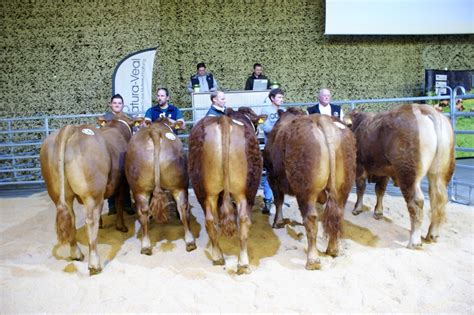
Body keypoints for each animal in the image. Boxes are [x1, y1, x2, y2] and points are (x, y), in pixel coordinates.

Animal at [39, 114, 134, 276]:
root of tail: (72, 129)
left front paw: (103, 223)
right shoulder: (121, 183)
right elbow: (119, 202)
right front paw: (121, 226)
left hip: (59, 194)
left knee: (71, 218)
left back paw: (76, 253)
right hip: (92, 193)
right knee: (90, 221)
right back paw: (94, 263)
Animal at [125, 119, 195, 256]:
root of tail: (155, 132)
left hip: (141, 189)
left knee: (144, 212)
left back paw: (146, 244)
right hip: (178, 185)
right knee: (182, 207)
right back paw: (189, 241)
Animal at [188, 107, 266, 276]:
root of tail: (224, 120)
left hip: (205, 190)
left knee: (210, 220)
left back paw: (217, 256)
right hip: (245, 191)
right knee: (243, 220)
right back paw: (243, 263)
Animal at [262, 110, 356, 270]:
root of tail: (323, 120)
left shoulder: (272, 177)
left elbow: (278, 200)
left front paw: (277, 222)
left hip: (306, 189)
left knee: (311, 219)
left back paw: (312, 260)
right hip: (344, 186)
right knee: (337, 214)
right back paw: (332, 250)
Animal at [348, 103, 456, 249]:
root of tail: (424, 109)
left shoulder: (359, 166)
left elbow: (361, 188)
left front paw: (357, 208)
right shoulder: (384, 171)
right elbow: (379, 190)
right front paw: (378, 212)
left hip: (408, 173)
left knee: (416, 201)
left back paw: (414, 241)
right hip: (440, 174)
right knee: (437, 201)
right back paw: (432, 234)